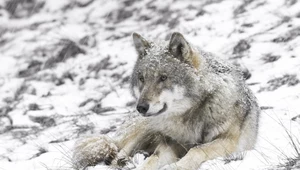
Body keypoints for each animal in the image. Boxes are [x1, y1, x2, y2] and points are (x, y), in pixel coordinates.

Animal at [73, 32, 260, 170]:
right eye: (142, 78)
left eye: (163, 78)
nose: (141, 107)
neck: (187, 118)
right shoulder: (168, 144)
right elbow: (153, 159)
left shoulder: (229, 141)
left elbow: (196, 150)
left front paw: (178, 166)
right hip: (146, 128)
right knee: (118, 153)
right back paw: (123, 160)